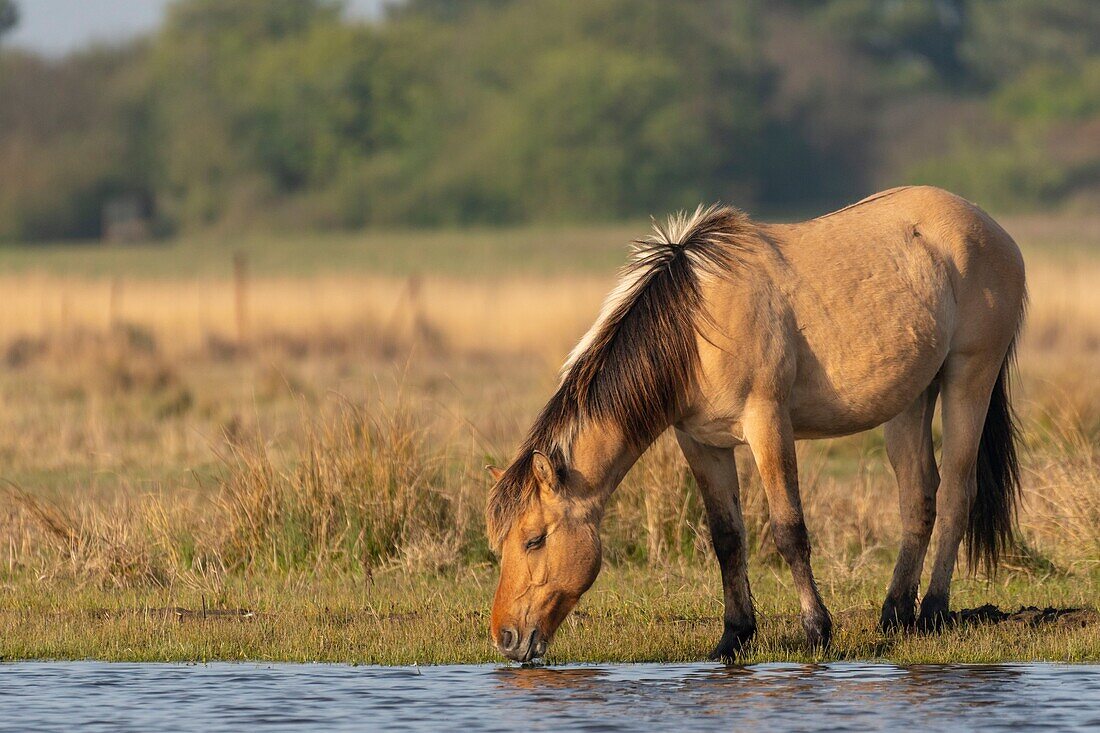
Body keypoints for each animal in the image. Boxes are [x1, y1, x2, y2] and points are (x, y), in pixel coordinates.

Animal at [486, 186, 1025, 660]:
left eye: (534, 539)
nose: (506, 638)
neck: (693, 327)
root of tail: (994, 230)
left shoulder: (767, 424)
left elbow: (789, 531)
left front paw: (817, 631)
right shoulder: (701, 443)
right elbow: (727, 538)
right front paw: (733, 637)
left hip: (968, 378)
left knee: (956, 492)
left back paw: (932, 611)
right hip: (912, 397)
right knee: (918, 495)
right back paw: (895, 615)